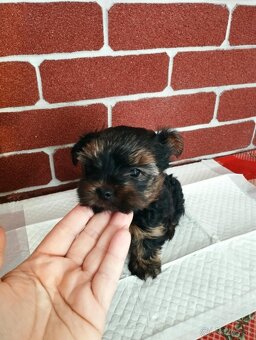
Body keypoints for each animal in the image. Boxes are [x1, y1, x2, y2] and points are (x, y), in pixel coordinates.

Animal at [71, 126, 184, 280]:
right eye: (91, 167)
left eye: (135, 172)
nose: (104, 191)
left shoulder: (152, 218)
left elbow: (146, 237)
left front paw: (144, 265)